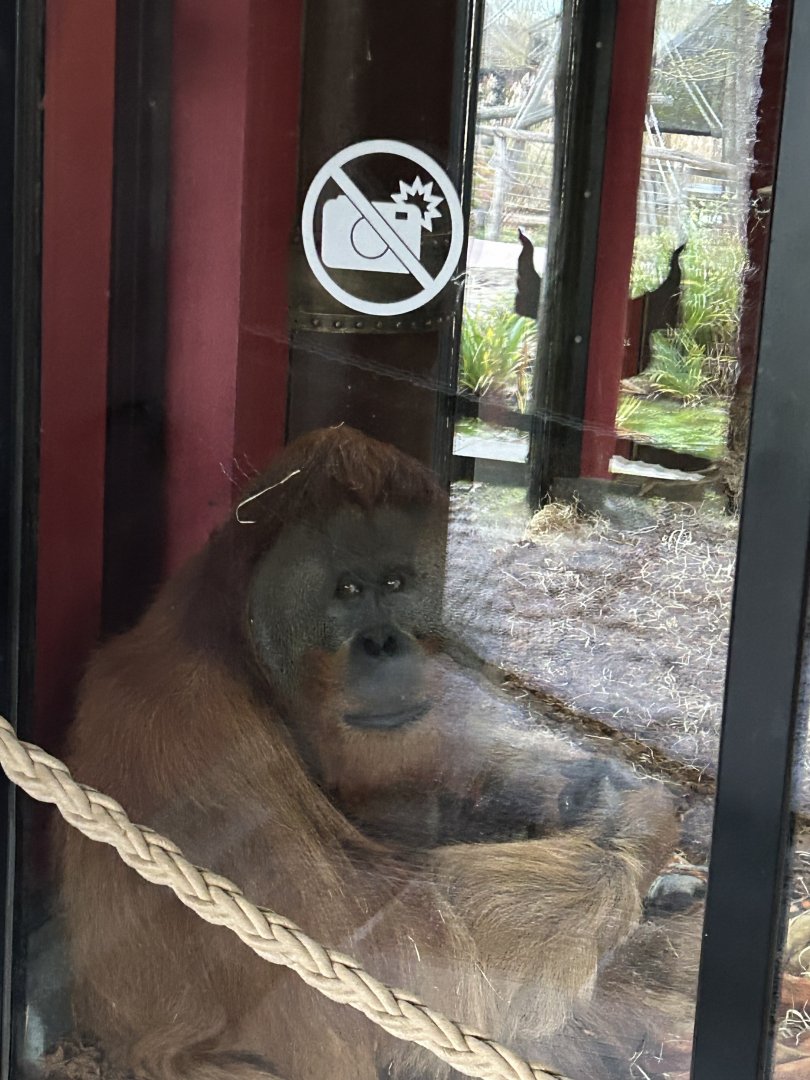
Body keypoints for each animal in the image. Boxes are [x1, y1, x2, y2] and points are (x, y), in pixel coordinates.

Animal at [57, 426, 701, 1080]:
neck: (247, 659)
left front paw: (587, 790)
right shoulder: (196, 735)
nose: (385, 643)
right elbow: (377, 973)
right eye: (346, 591)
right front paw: (631, 827)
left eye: (394, 584)